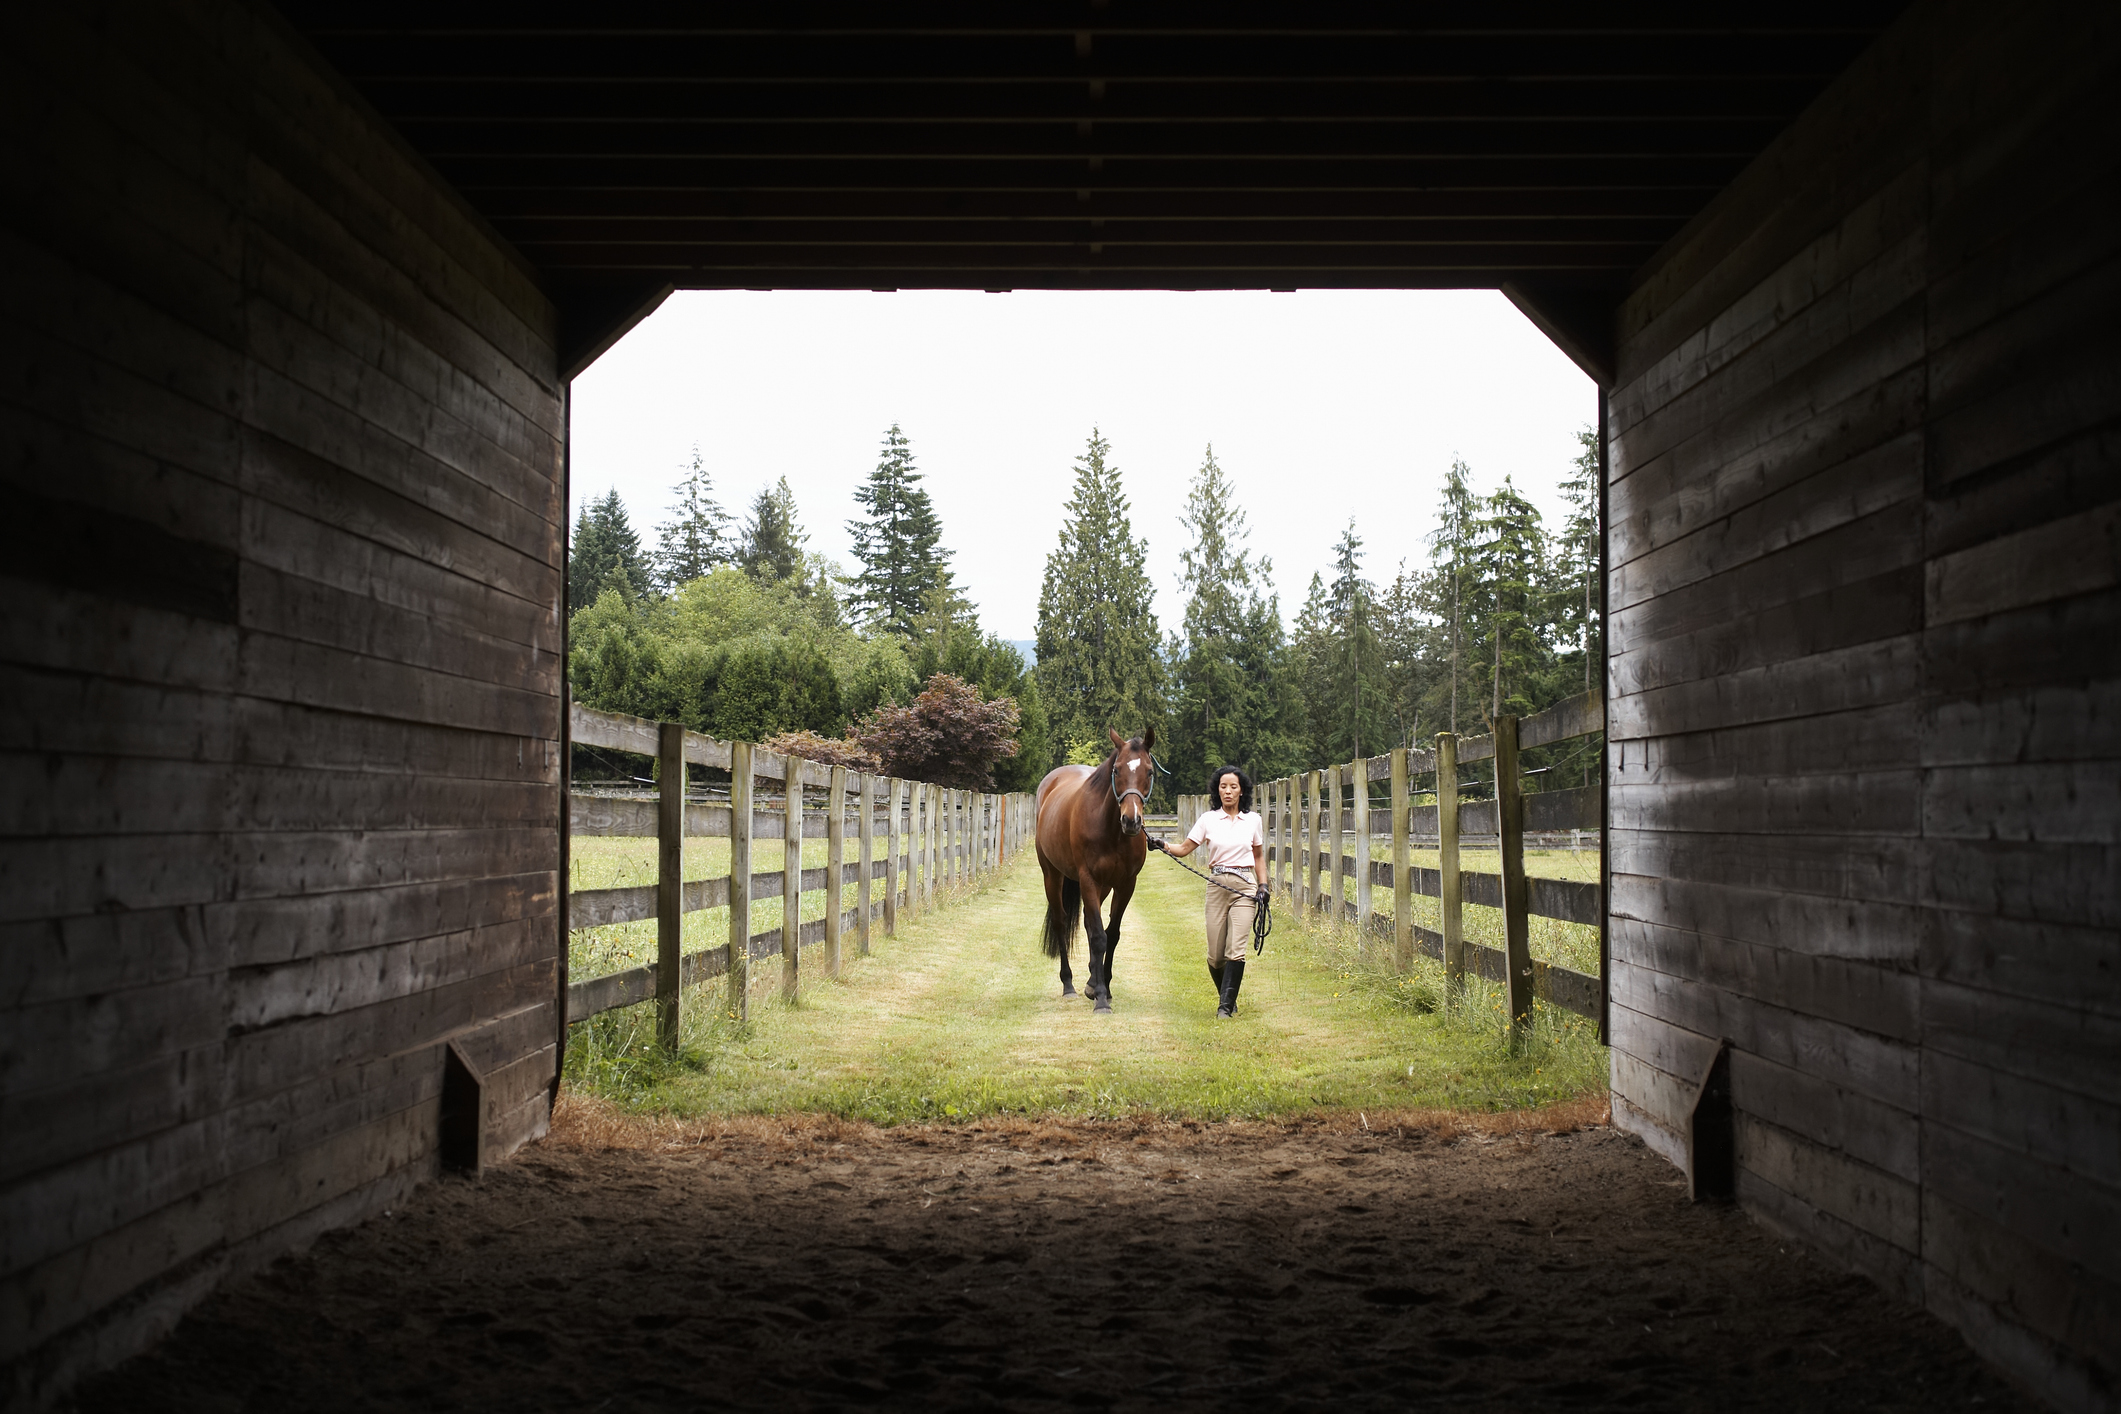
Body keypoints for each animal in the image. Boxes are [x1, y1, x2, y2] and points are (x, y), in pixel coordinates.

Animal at [1034, 726, 1156, 1012]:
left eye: (1149, 771)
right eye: (1117, 770)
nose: (1131, 821)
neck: (1112, 830)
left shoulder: (1125, 884)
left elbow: (1111, 934)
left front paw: (1103, 988)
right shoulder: (1088, 879)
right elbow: (1100, 936)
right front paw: (1101, 998)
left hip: (1103, 886)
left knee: (1090, 923)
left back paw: (1090, 980)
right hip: (1052, 875)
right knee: (1060, 922)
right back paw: (1069, 985)